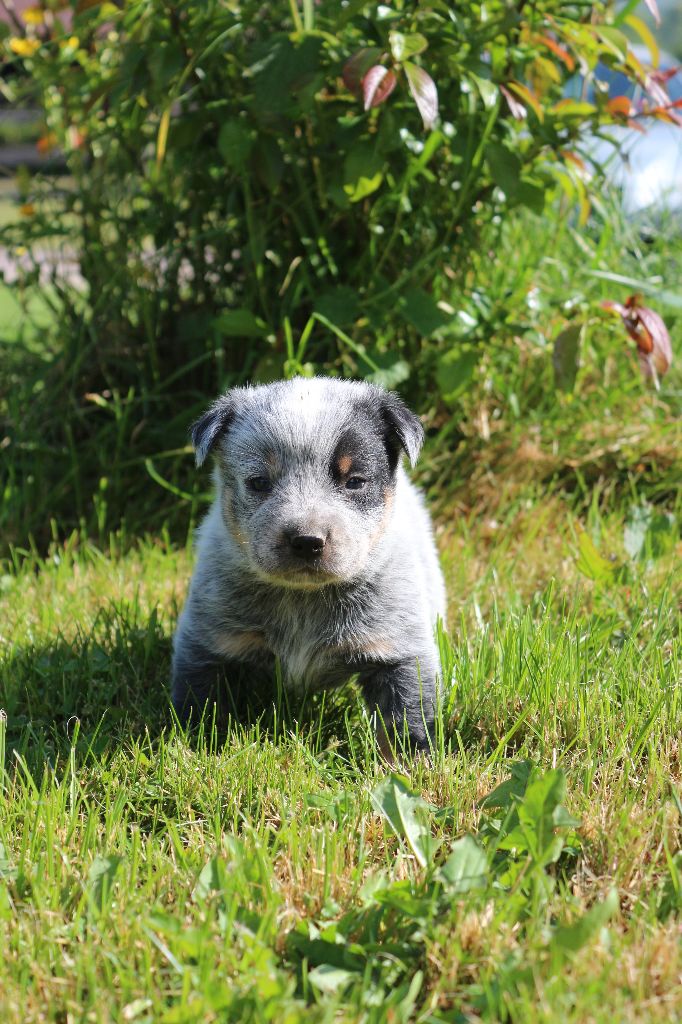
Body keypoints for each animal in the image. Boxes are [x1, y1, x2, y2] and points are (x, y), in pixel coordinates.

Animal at [169, 376, 446, 753]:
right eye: (259, 482)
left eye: (354, 481)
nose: (307, 541)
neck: (304, 597)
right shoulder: (209, 640)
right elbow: (201, 703)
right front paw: (197, 749)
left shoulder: (397, 649)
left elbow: (405, 718)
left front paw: (410, 762)